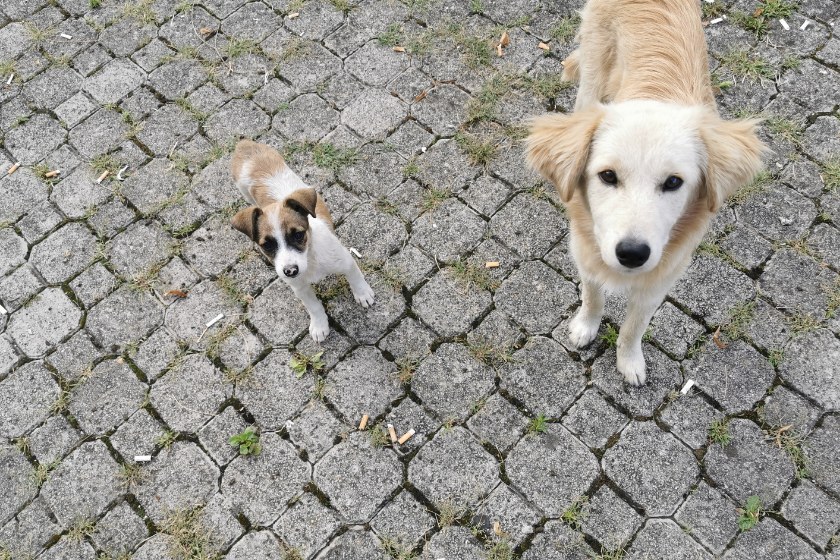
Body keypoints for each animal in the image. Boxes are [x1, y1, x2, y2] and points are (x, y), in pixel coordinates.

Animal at [230, 140, 374, 342]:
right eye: (267, 245)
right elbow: (314, 307)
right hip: (244, 192)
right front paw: (320, 325)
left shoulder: (345, 261)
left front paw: (363, 294)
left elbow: (356, 278)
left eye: (298, 235)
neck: (310, 258)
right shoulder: (300, 288)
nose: (290, 271)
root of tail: (244, 145)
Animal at [528, 0, 764, 382]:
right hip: (591, 77)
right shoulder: (586, 253)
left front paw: (629, 361)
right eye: (607, 176)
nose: (632, 253)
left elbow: (633, 327)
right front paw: (585, 327)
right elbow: (592, 297)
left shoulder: (661, 278)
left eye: (673, 182)